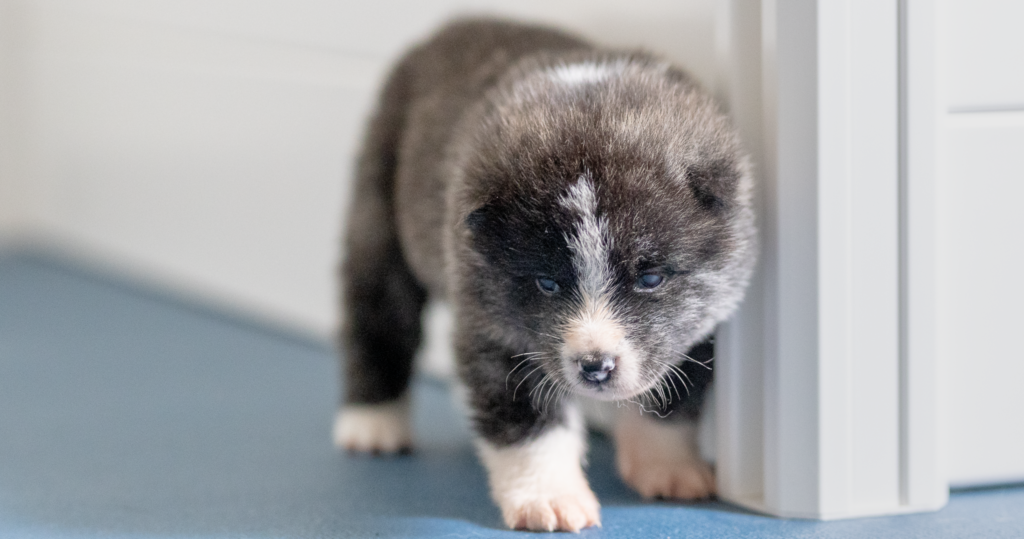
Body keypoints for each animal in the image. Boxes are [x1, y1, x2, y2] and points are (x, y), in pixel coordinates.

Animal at [333, 18, 753, 532]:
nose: (595, 367)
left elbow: (671, 400)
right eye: (547, 283)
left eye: (650, 278)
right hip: (379, 209)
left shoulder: (701, 326)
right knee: (377, 313)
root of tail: (452, 25)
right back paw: (372, 422)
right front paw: (547, 498)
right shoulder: (496, 333)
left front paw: (668, 468)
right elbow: (528, 422)